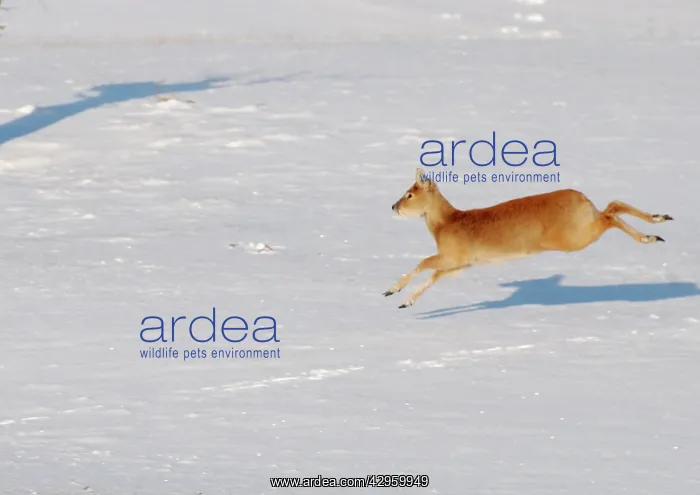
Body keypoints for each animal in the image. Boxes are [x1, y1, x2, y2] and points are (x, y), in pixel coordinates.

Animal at [384, 168, 673, 308]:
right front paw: (406, 301)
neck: (446, 223)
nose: (393, 206)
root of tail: (582, 198)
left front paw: (392, 290)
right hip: (582, 227)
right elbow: (432, 276)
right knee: (613, 205)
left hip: (574, 237)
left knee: (610, 215)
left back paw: (650, 235)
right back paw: (658, 222)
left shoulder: (453, 255)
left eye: (410, 194)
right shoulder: (460, 264)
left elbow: (423, 263)